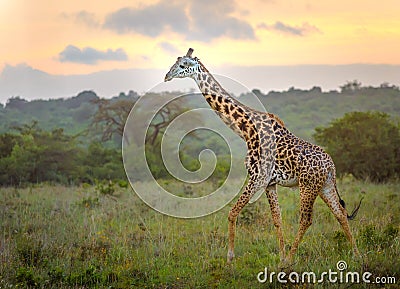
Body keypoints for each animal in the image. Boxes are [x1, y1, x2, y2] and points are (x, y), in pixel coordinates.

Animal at [164, 48, 360, 264]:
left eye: (183, 65)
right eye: (175, 62)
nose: (167, 76)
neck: (246, 129)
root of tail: (331, 166)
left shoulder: (257, 177)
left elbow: (232, 212)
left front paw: (230, 257)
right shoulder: (270, 183)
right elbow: (277, 219)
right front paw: (280, 257)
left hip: (308, 186)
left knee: (306, 219)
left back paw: (292, 258)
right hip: (324, 185)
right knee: (340, 213)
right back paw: (357, 255)